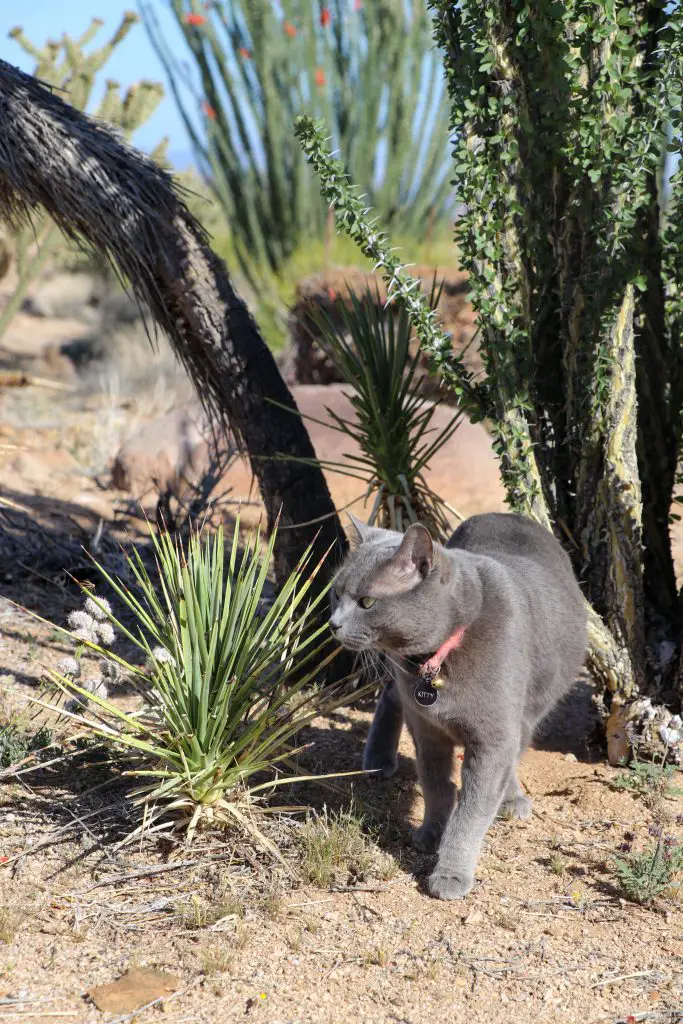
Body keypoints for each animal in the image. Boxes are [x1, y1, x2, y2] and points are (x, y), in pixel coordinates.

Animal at [327, 509, 585, 897]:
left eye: (367, 602)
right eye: (336, 593)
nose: (333, 624)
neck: (436, 661)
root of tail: (505, 513)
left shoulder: (494, 738)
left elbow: (472, 812)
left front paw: (450, 874)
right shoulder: (427, 729)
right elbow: (437, 786)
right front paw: (431, 833)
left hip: (532, 704)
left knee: (517, 747)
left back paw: (512, 798)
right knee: (391, 695)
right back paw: (378, 760)